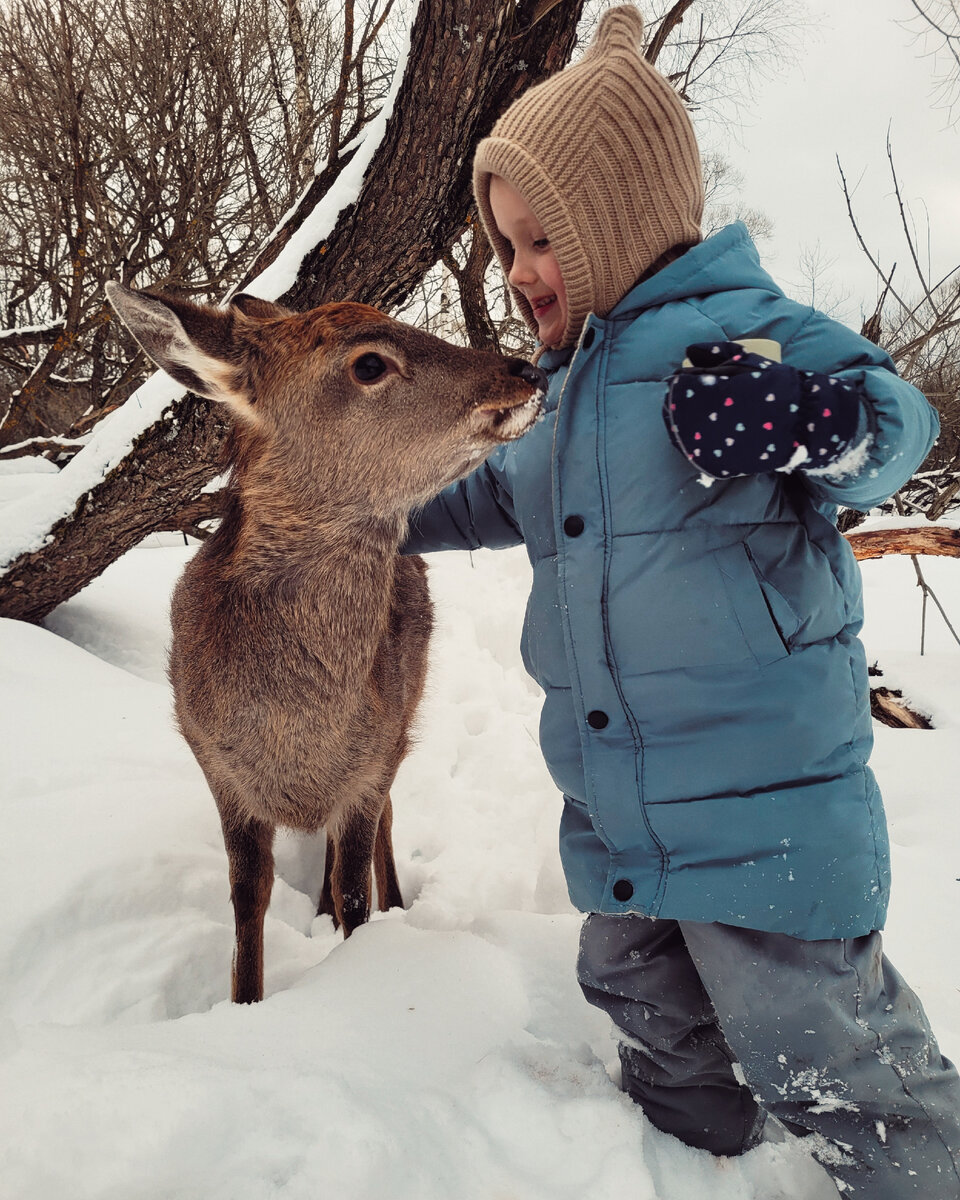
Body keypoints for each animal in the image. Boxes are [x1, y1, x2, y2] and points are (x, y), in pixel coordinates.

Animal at [105, 283, 544, 1003]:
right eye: (369, 363)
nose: (526, 371)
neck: (296, 736)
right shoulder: (215, 762)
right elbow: (247, 894)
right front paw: (245, 999)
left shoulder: (370, 759)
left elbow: (355, 887)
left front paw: (359, 947)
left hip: (403, 717)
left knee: (384, 825)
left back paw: (390, 900)